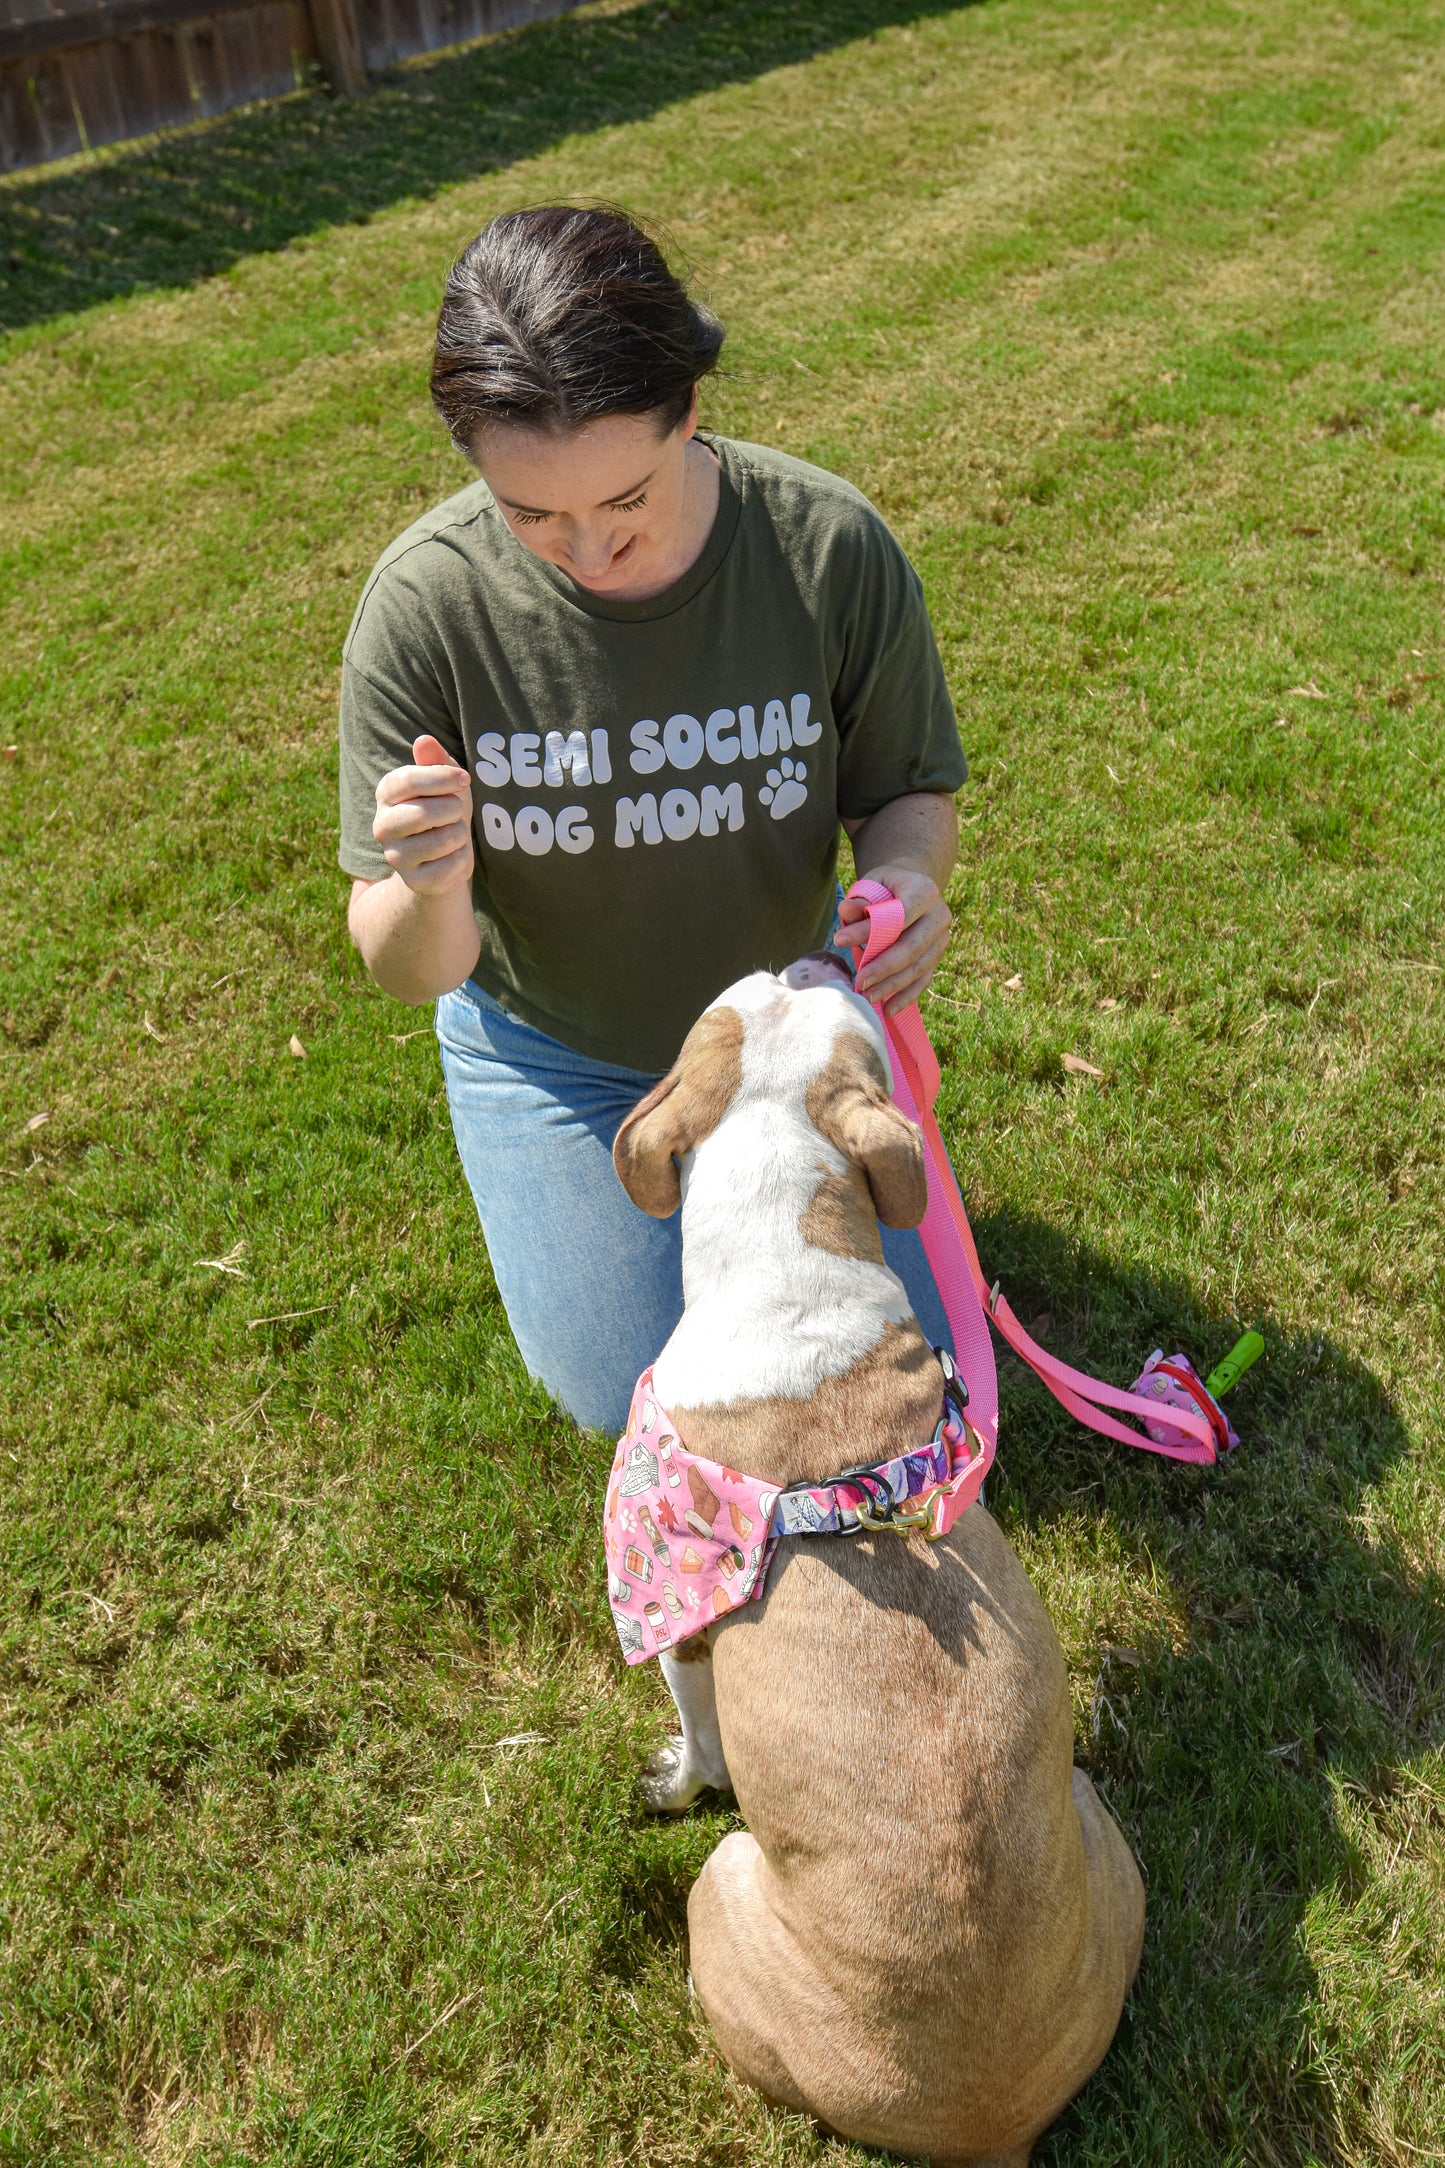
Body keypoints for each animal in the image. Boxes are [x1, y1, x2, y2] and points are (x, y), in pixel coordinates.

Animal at [610, 966, 1143, 2168]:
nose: (809, 959)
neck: (785, 1263)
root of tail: (989, 2125)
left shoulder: (671, 1619)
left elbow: (698, 1737)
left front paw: (674, 1776)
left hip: (721, 1888)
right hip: (1092, 1822)